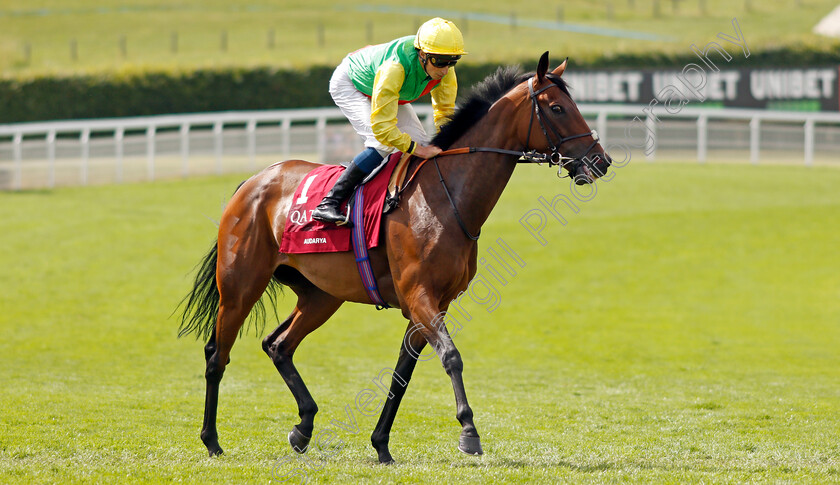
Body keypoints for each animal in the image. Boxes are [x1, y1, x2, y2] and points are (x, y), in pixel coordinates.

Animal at [179, 51, 612, 464]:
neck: (446, 198)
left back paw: (303, 428)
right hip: (240, 285)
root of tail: (252, 182)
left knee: (279, 345)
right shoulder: (418, 295)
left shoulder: (433, 303)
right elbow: (451, 357)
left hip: (322, 295)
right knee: (217, 354)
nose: (601, 161)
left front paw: (381, 444)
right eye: (557, 108)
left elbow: (402, 374)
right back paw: (211, 440)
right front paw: (468, 432)